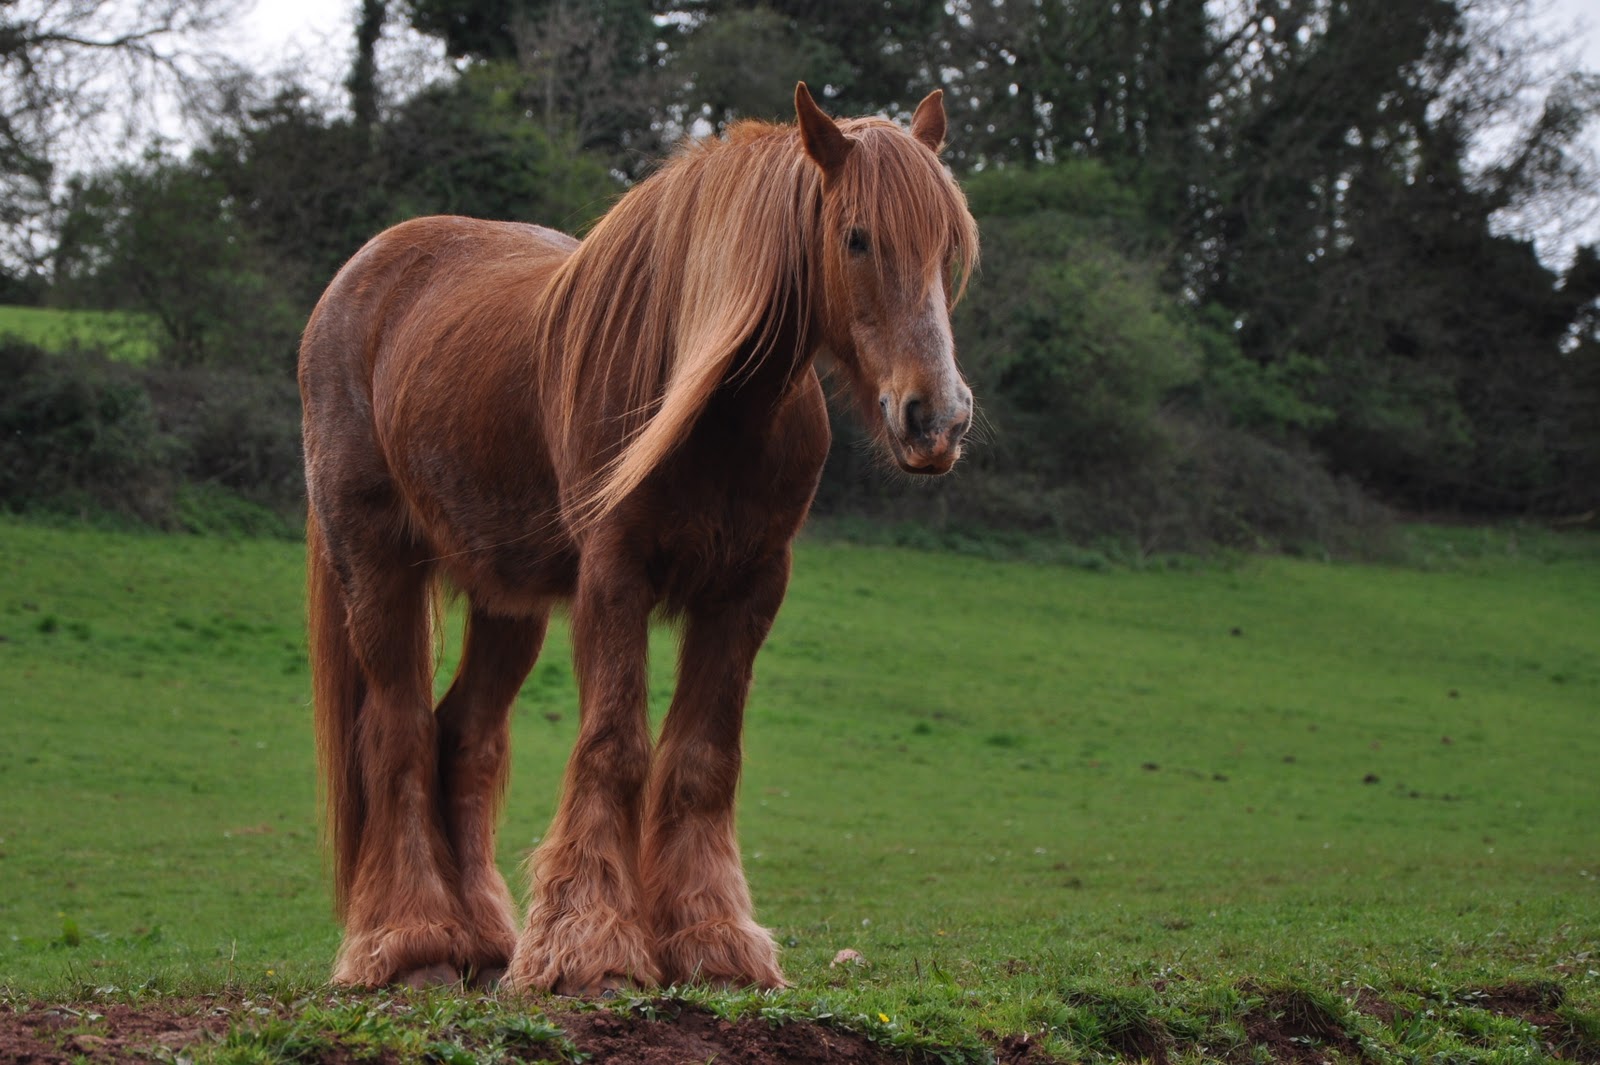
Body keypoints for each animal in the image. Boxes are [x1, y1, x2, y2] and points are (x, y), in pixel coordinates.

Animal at [297, 85, 972, 997]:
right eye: (858, 237)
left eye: (950, 247)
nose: (937, 419)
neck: (719, 410)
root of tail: (356, 277)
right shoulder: (614, 574)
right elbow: (616, 746)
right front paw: (592, 947)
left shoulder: (750, 586)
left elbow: (702, 757)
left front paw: (713, 940)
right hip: (375, 566)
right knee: (397, 733)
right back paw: (412, 941)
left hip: (507, 600)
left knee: (464, 738)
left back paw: (485, 941)